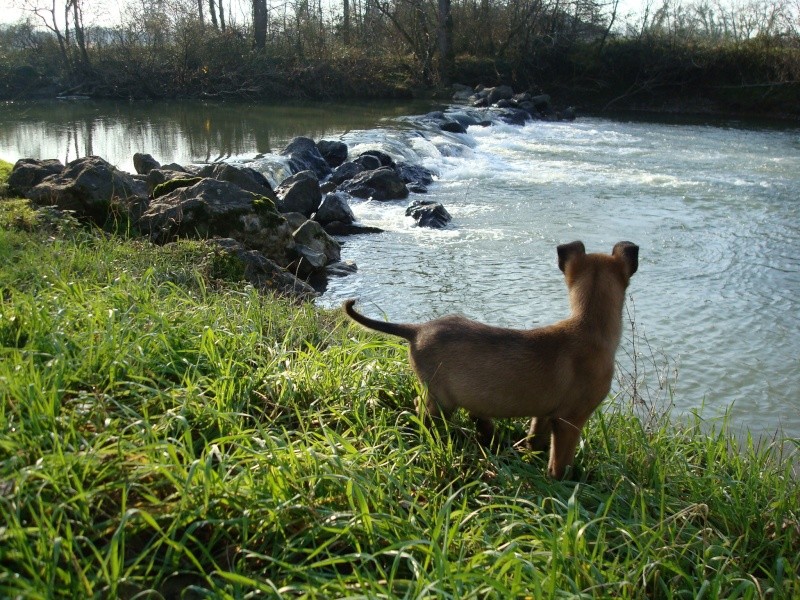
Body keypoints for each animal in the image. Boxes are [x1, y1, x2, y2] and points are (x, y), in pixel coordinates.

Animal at [344, 239, 636, 478]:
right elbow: (559, 464)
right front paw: (565, 486)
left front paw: (529, 456)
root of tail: (417, 330)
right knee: (424, 413)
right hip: (441, 400)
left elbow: (535, 440)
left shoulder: (545, 414)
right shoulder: (570, 421)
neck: (589, 326)